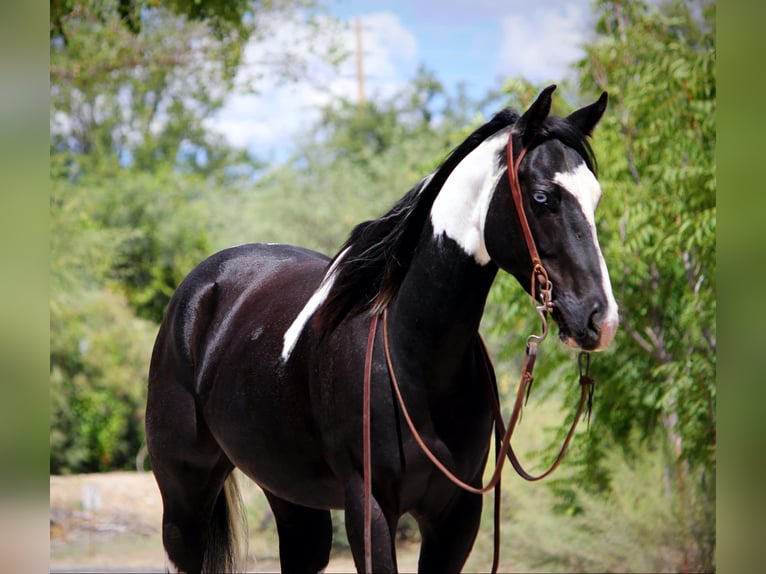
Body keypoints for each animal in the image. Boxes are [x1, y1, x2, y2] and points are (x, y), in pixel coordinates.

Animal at [145, 84, 619, 573]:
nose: (599, 318)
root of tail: (202, 285)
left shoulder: (456, 517)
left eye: (596, 197)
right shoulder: (368, 508)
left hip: (291, 496)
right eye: (543, 197)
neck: (413, 356)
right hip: (184, 496)